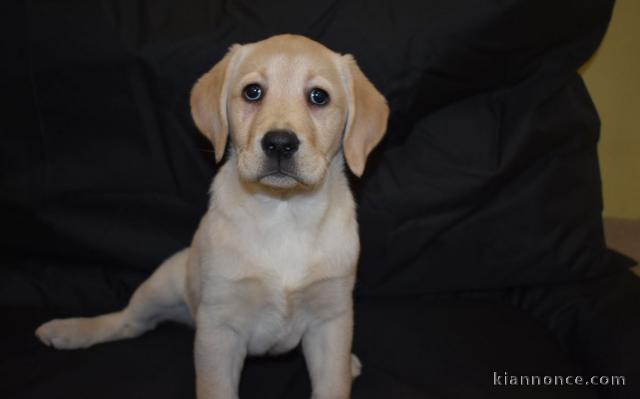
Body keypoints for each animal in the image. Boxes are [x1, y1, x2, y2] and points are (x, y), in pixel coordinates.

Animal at [36, 35, 390, 399]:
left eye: (319, 97)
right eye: (253, 92)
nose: (279, 143)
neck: (283, 212)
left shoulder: (331, 319)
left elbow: (333, 384)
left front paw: (342, 371)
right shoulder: (218, 326)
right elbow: (215, 387)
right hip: (163, 282)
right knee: (128, 322)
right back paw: (71, 330)